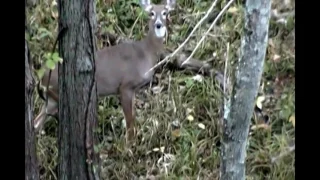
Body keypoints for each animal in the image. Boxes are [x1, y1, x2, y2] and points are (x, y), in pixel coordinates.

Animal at [34, 0, 178, 141]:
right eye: (151, 13)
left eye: (165, 13)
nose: (158, 25)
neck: (146, 53)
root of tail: (41, 77)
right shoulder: (125, 85)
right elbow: (129, 121)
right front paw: (129, 145)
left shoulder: (133, 89)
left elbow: (133, 117)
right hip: (56, 93)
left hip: (51, 99)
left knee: (37, 122)